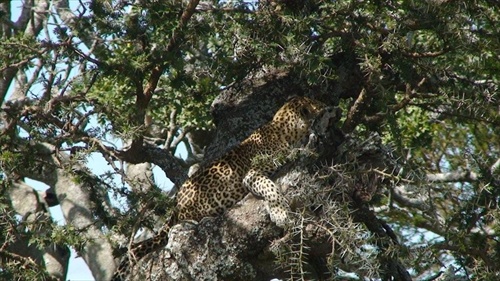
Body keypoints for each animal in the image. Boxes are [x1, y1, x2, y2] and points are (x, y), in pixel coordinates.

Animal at [111, 96, 326, 280]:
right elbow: (270, 188)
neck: (286, 131)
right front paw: (280, 213)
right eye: (317, 104)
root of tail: (176, 207)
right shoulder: (252, 174)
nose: (327, 106)